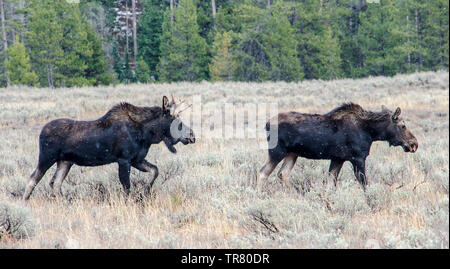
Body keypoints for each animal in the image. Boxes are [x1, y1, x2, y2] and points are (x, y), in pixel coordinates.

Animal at [22, 96, 195, 199]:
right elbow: (126, 186)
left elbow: (155, 171)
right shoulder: (124, 159)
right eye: (176, 120)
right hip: (47, 157)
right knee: (33, 178)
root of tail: (41, 131)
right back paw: (24, 202)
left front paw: (145, 191)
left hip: (65, 161)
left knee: (55, 183)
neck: (147, 134)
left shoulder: (136, 159)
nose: (192, 135)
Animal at [258, 102, 420, 188]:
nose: (414, 143)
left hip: (293, 153)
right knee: (262, 173)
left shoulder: (338, 158)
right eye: (403, 126)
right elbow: (364, 183)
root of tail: (266, 124)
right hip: (277, 151)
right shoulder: (358, 158)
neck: (371, 132)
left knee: (282, 174)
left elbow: (330, 183)